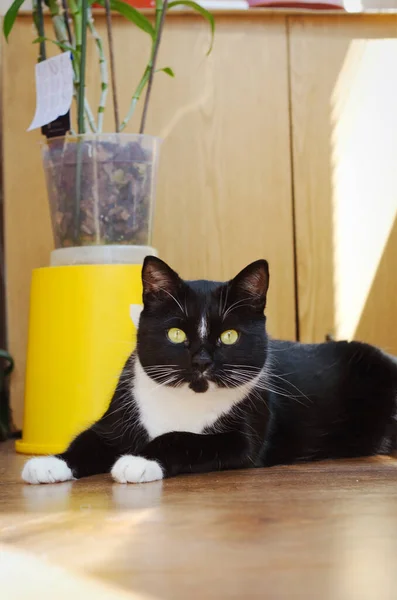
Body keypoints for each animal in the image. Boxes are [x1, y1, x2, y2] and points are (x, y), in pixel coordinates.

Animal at [21, 255, 396, 486]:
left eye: (229, 336)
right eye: (176, 333)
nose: (201, 361)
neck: (184, 401)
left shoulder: (242, 437)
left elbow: (181, 438)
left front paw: (138, 461)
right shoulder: (116, 420)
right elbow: (88, 440)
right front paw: (49, 463)